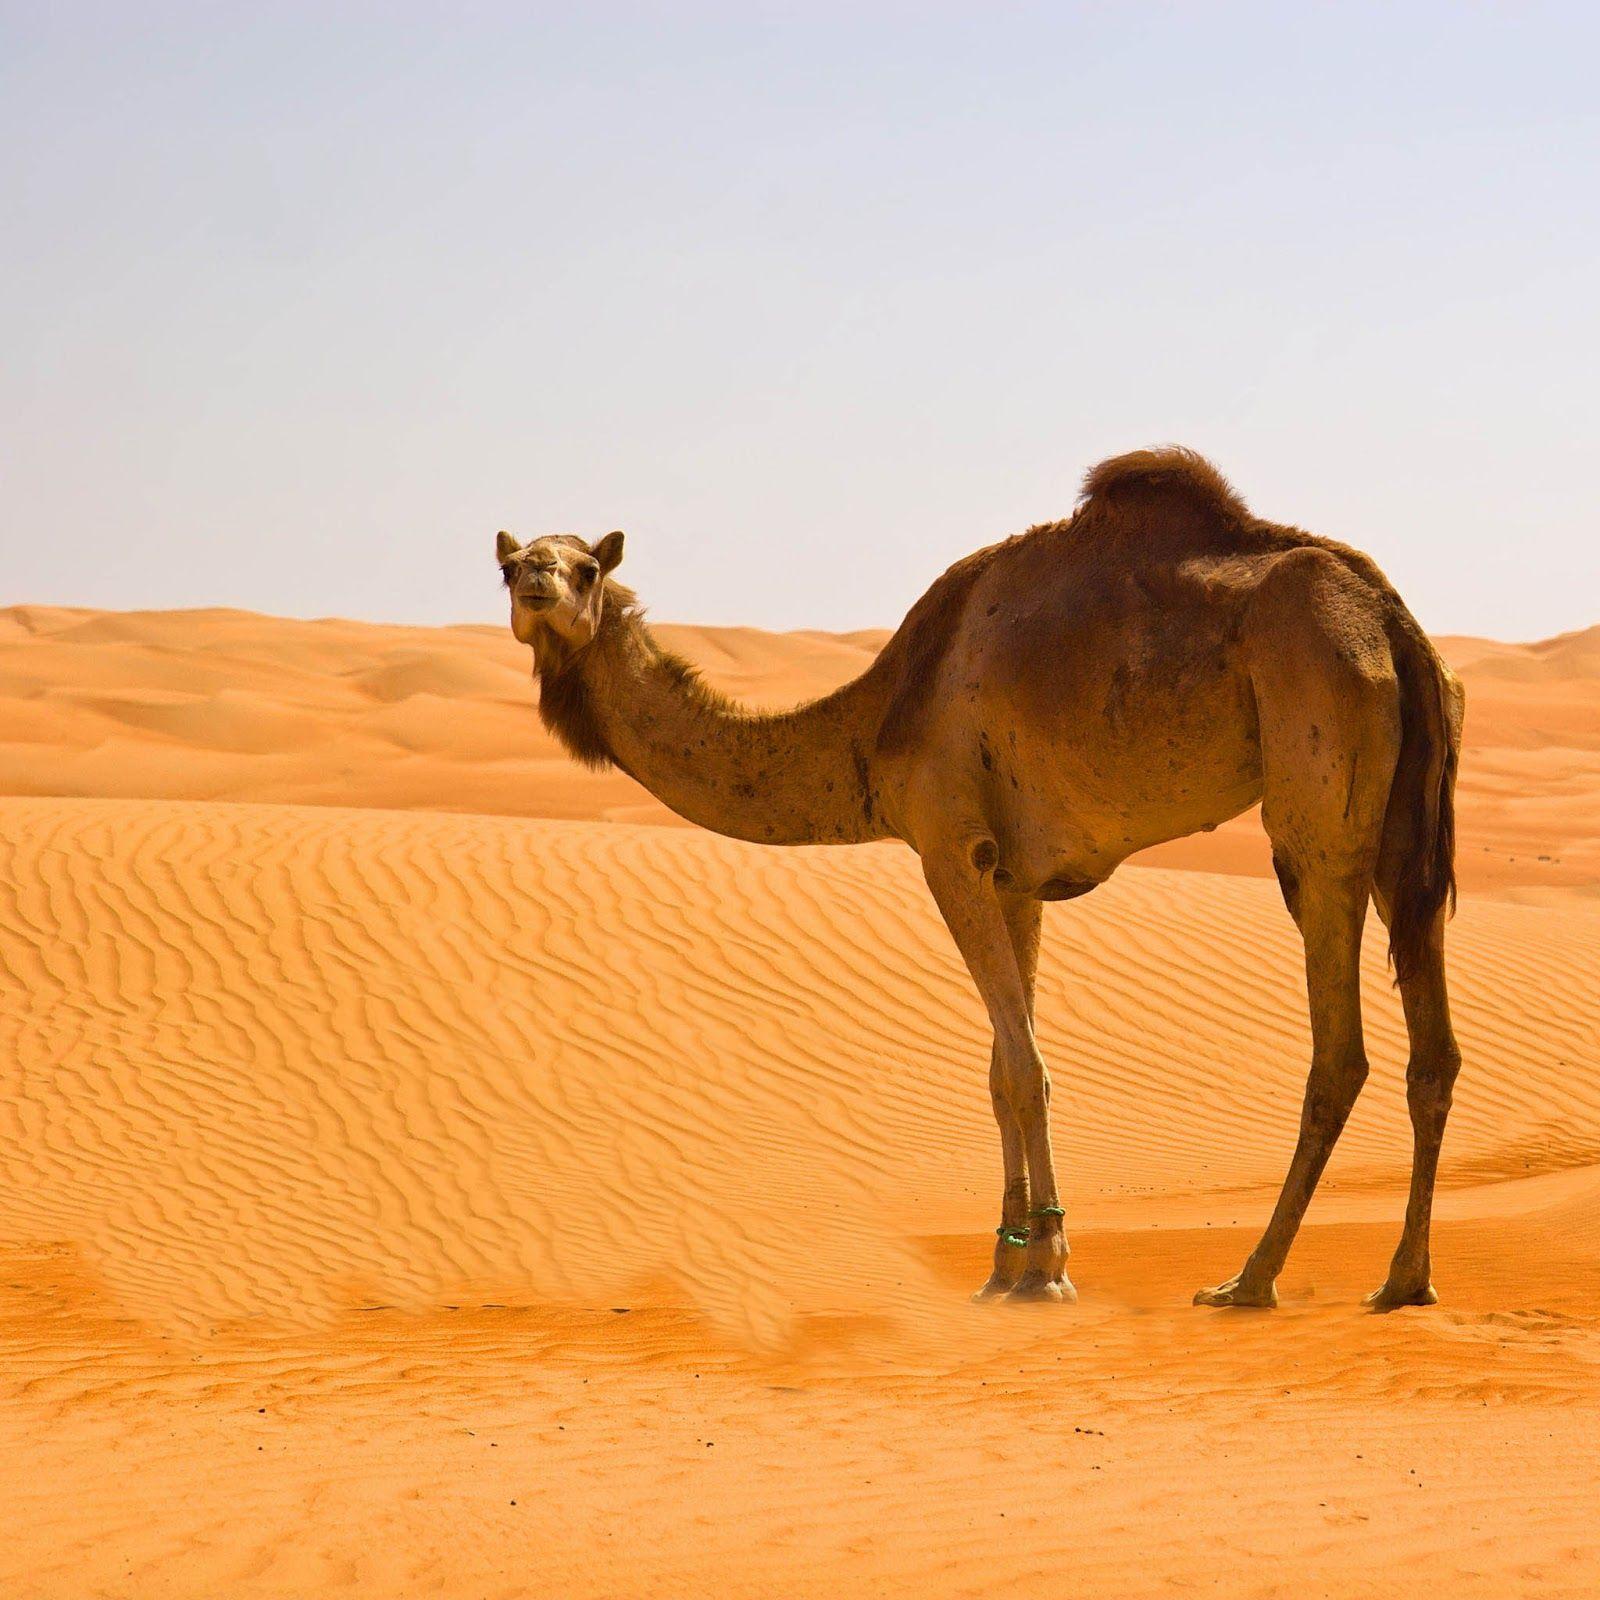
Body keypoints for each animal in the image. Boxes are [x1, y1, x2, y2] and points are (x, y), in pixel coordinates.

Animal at [495, 448, 1464, 1311]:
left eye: (585, 567)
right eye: (507, 564)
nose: (537, 583)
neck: (876, 724)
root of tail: (1393, 620)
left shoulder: (948, 847)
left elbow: (1027, 1066)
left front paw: (1049, 1269)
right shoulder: (1016, 879)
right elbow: (1002, 1070)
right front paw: (1006, 1264)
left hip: (1317, 775)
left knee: (1338, 1047)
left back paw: (1249, 1279)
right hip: (1403, 823)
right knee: (1433, 1046)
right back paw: (1403, 1279)